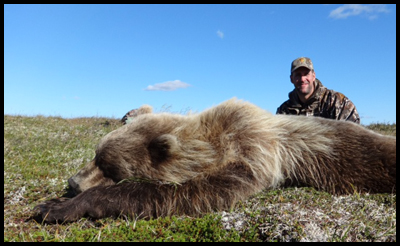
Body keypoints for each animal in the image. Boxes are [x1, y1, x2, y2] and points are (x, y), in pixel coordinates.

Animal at [32, 98, 396, 223]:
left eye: (110, 168)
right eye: (96, 155)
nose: (72, 183)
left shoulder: (254, 149)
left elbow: (199, 192)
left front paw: (57, 207)